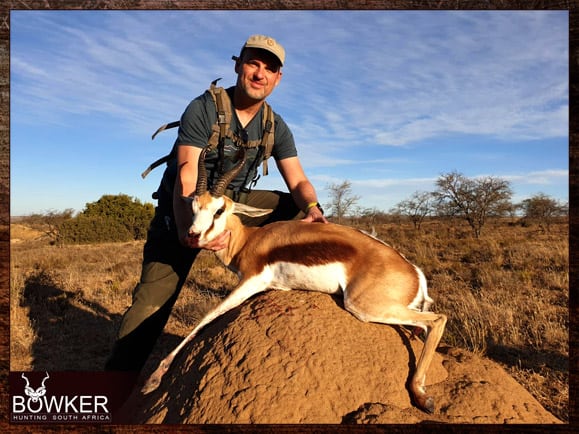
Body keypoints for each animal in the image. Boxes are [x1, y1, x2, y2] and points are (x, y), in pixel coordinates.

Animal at [142, 147, 448, 412]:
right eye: (193, 207)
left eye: (219, 210)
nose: (193, 235)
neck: (249, 240)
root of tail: (414, 271)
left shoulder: (252, 281)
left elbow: (207, 316)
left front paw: (152, 380)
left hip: (362, 305)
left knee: (438, 320)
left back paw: (422, 397)